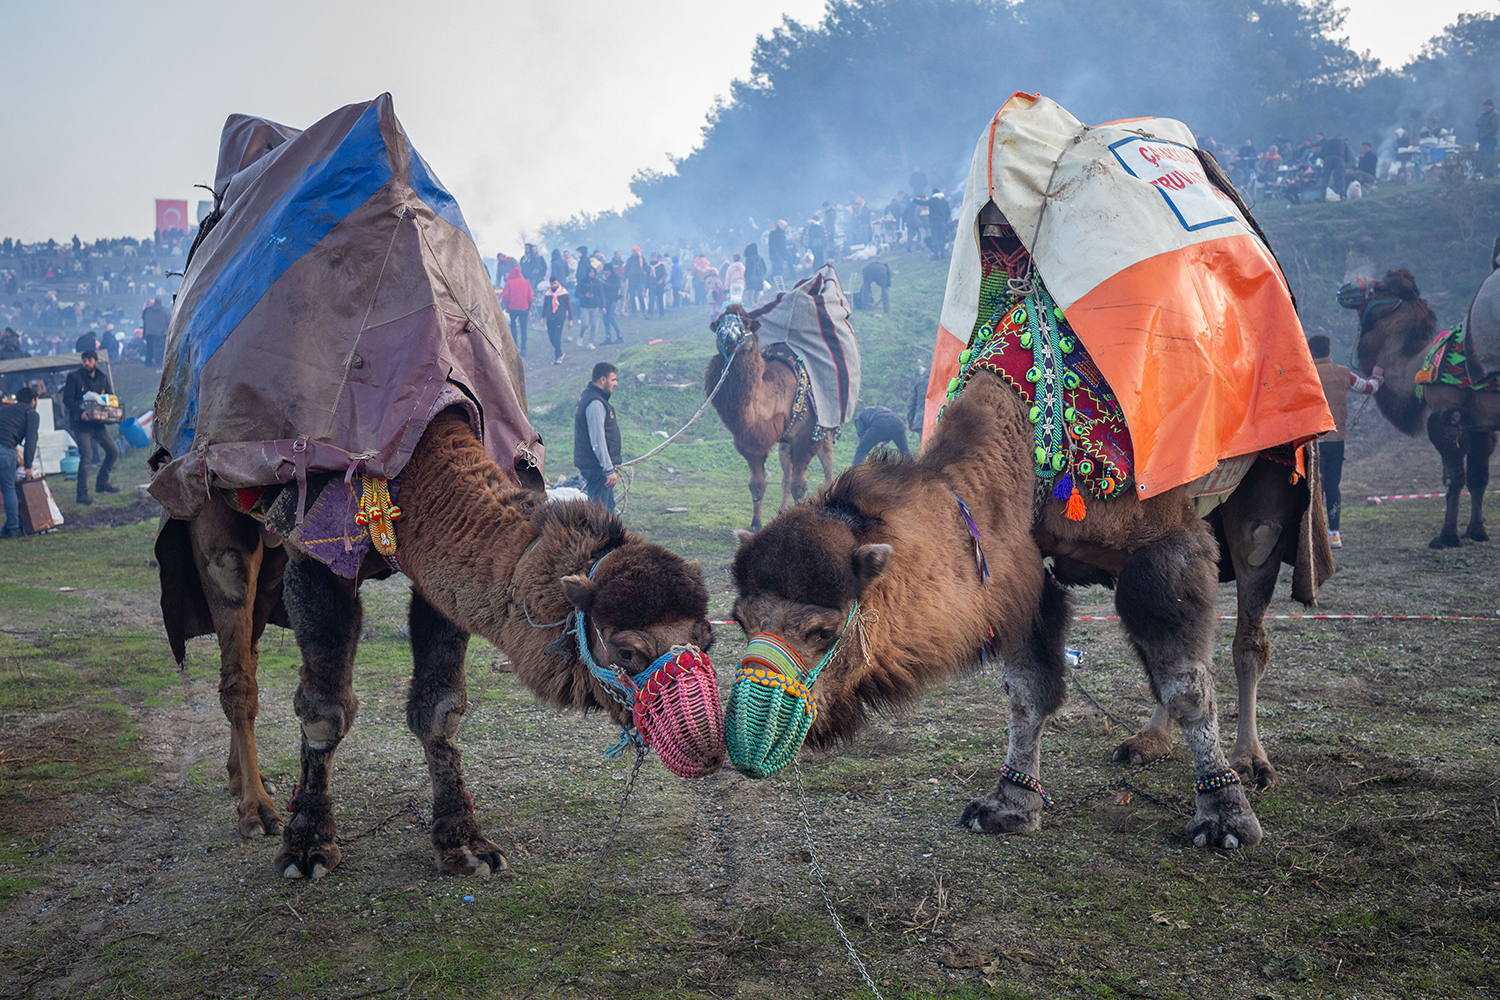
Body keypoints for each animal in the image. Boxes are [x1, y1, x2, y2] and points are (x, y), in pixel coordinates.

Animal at [156, 408, 719, 878]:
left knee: (249, 651)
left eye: (708, 639)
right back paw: (257, 809)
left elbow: (440, 706)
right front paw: (307, 844)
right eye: (626, 651)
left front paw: (464, 844)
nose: (707, 745)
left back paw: (242, 782)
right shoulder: (314, 548)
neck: (418, 464)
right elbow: (325, 709)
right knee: (238, 663)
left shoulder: (435, 578)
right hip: (216, 514)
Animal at [705, 305, 835, 530]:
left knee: (827, 462)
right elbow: (757, 485)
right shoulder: (751, 441)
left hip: (823, 427)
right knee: (786, 476)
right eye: (719, 322)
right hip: (785, 442)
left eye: (745, 322)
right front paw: (756, 524)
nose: (727, 334)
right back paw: (782, 512)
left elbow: (800, 486)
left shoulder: (806, 438)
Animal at [727, 370, 1335, 850]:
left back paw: (1251, 762)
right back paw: (1147, 742)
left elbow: (1187, 685)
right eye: (740, 620)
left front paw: (1225, 818)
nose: (747, 737)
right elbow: (1029, 690)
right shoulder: (1021, 571)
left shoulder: (1165, 536)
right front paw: (1010, 805)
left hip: (1266, 494)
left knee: (1245, 632)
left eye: (823, 630)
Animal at [1339, 267, 1500, 548]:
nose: (1345, 287)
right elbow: (1478, 477)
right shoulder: (1479, 423)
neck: (1420, 365)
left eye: (1382, 287)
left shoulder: (1447, 416)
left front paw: (1446, 536)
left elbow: (1453, 479)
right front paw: (1476, 531)